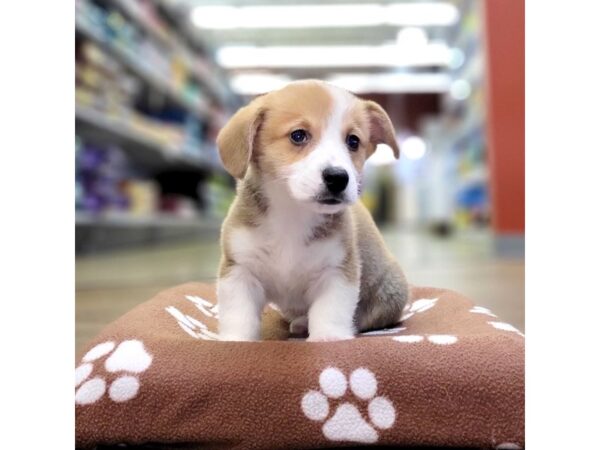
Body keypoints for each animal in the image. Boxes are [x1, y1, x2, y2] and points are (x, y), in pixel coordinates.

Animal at [216, 80, 408, 342]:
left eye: (353, 141)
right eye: (298, 136)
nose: (338, 178)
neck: (292, 215)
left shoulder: (337, 272)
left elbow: (330, 312)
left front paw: (328, 338)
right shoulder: (239, 270)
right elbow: (239, 315)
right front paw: (236, 341)